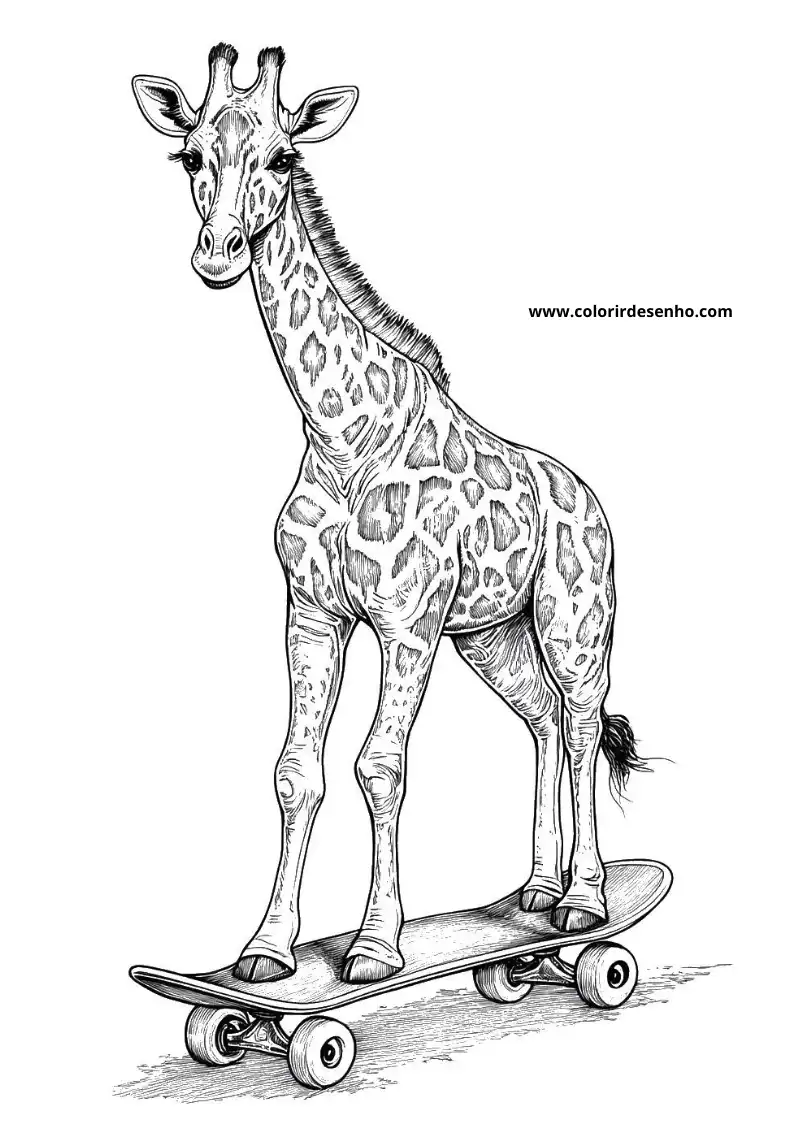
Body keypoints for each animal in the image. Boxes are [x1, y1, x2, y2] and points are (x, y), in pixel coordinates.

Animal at [133, 44, 648, 985]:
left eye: (282, 158)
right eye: (188, 157)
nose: (218, 255)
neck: (342, 435)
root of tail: (590, 498)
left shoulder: (407, 621)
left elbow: (381, 765)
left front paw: (375, 947)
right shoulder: (312, 612)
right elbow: (295, 768)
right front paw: (265, 950)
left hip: (574, 620)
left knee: (585, 720)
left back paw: (585, 904)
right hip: (490, 634)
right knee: (542, 718)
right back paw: (534, 895)